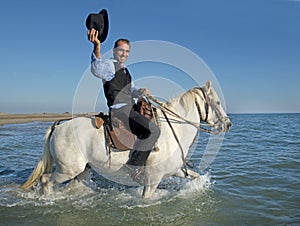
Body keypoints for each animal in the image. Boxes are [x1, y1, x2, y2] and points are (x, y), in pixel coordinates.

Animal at [21, 81, 232, 198]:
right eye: (217, 102)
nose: (228, 124)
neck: (175, 130)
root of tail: (58, 126)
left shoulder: (176, 170)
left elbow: (194, 177)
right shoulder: (152, 181)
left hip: (81, 170)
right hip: (69, 169)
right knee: (45, 180)